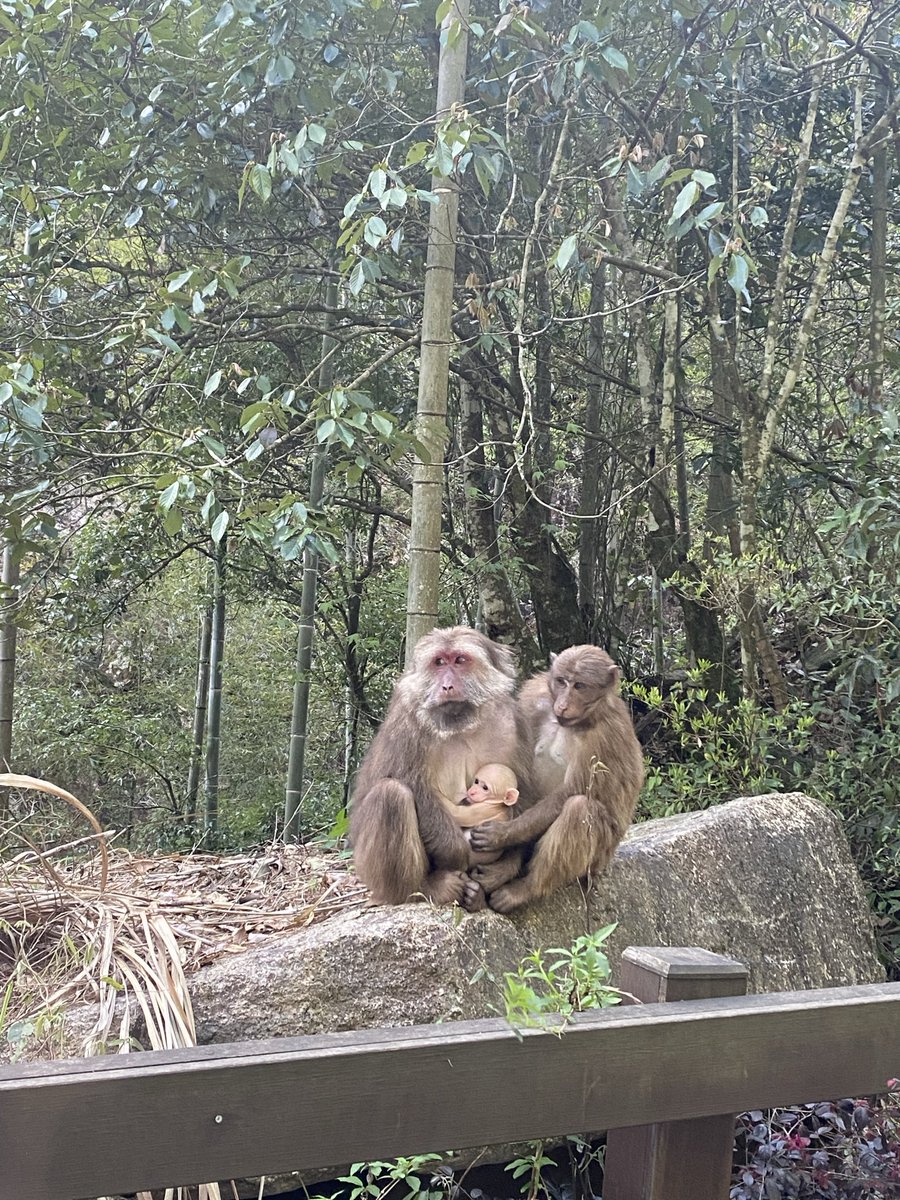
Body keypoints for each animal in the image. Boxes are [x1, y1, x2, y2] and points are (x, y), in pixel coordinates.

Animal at [349, 627, 534, 909]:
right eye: (439, 662)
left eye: (459, 660)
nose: (446, 685)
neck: (460, 725)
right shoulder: (407, 723)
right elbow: (414, 786)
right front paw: (456, 853)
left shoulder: (513, 723)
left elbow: (525, 794)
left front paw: (502, 869)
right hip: (367, 867)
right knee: (391, 794)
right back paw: (423, 890)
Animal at [469, 645, 644, 914]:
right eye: (562, 681)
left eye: (580, 685)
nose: (563, 704)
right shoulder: (534, 698)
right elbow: (518, 767)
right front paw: (509, 852)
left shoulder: (605, 735)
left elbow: (572, 790)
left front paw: (503, 833)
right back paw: (506, 868)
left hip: (600, 857)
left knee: (579, 808)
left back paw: (526, 888)